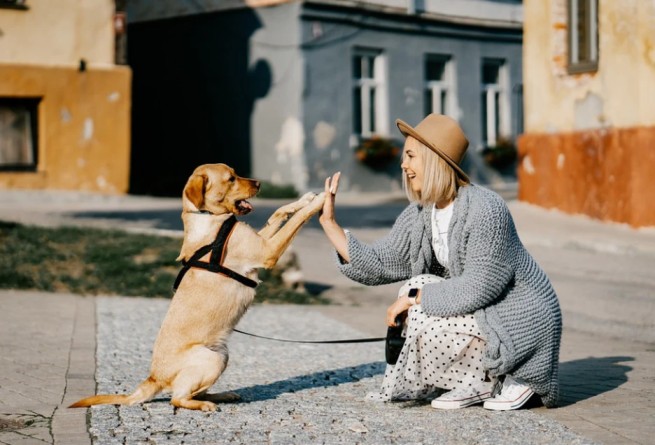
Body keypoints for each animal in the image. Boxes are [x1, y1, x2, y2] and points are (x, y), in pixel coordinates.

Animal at [70, 162, 326, 410]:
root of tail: (154, 378)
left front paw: (305, 199)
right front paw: (320, 201)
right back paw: (204, 405)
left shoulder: (261, 241)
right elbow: (296, 220)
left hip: (222, 355)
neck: (208, 217)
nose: (259, 183)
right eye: (231, 178)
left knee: (193, 392)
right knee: (177, 398)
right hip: (211, 358)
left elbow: (279, 212)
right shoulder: (267, 251)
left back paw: (222, 396)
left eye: (235, 173)